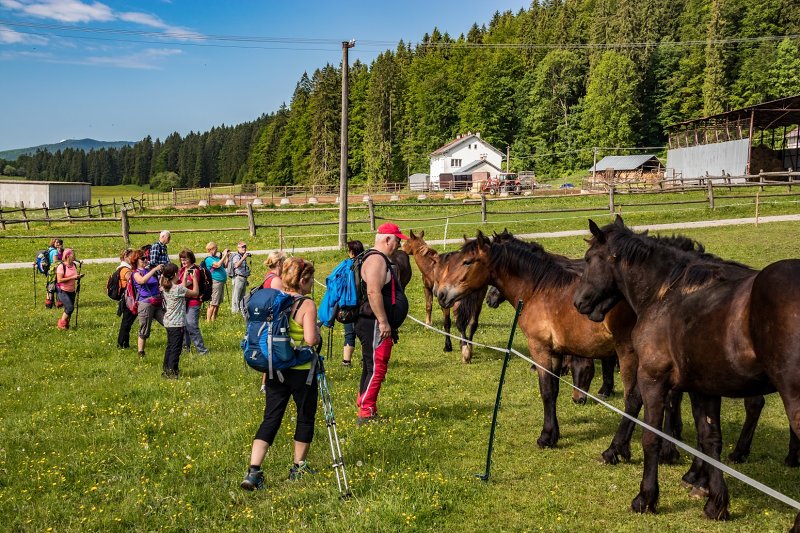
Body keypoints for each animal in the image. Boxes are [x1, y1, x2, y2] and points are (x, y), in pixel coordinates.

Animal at [404, 229, 484, 362]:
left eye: (407, 242)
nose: (401, 248)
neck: (432, 266)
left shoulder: (430, 291)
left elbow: (436, 313)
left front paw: (429, 326)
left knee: (461, 323)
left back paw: (465, 352)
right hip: (478, 302)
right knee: (473, 324)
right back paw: (469, 348)